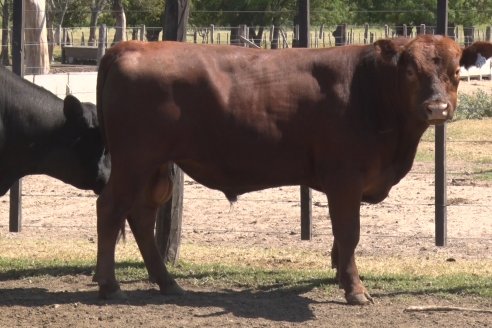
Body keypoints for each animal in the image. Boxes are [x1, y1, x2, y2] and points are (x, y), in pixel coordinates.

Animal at [95, 36, 492, 304]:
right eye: (410, 71)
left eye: (456, 70)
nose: (437, 108)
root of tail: (131, 45)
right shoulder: (345, 179)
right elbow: (349, 233)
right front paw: (355, 290)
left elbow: (341, 239)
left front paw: (340, 276)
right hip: (134, 160)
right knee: (111, 209)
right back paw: (110, 285)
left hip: (154, 167)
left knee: (141, 217)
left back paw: (167, 282)